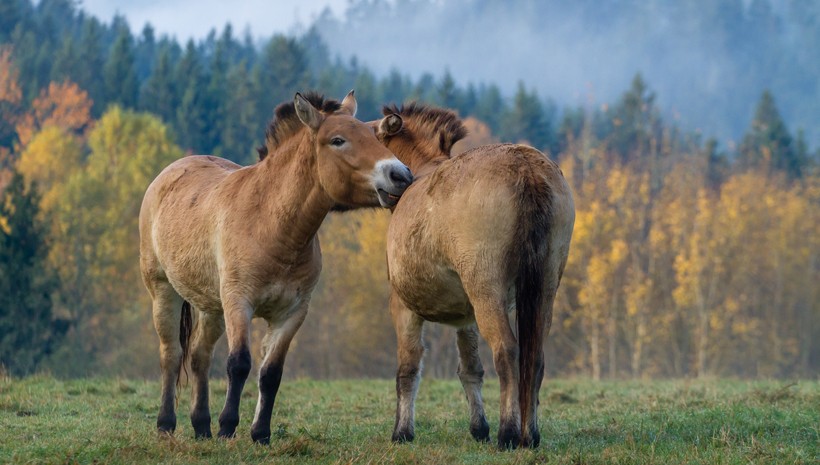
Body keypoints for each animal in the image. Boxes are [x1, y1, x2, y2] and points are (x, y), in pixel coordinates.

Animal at [141, 90, 414, 442]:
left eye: (376, 137)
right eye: (338, 140)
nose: (401, 175)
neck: (270, 224)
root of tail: (171, 171)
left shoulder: (292, 313)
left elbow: (271, 373)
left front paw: (260, 433)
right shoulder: (238, 302)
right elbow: (239, 363)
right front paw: (228, 427)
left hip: (210, 305)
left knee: (200, 356)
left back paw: (201, 426)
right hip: (164, 291)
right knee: (172, 354)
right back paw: (166, 424)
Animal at [374, 103, 572, 448]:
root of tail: (526, 169)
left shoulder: (403, 308)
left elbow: (407, 370)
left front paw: (402, 431)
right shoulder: (465, 317)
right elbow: (471, 370)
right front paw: (479, 428)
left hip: (487, 293)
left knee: (507, 351)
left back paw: (508, 434)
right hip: (544, 290)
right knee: (534, 356)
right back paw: (529, 435)